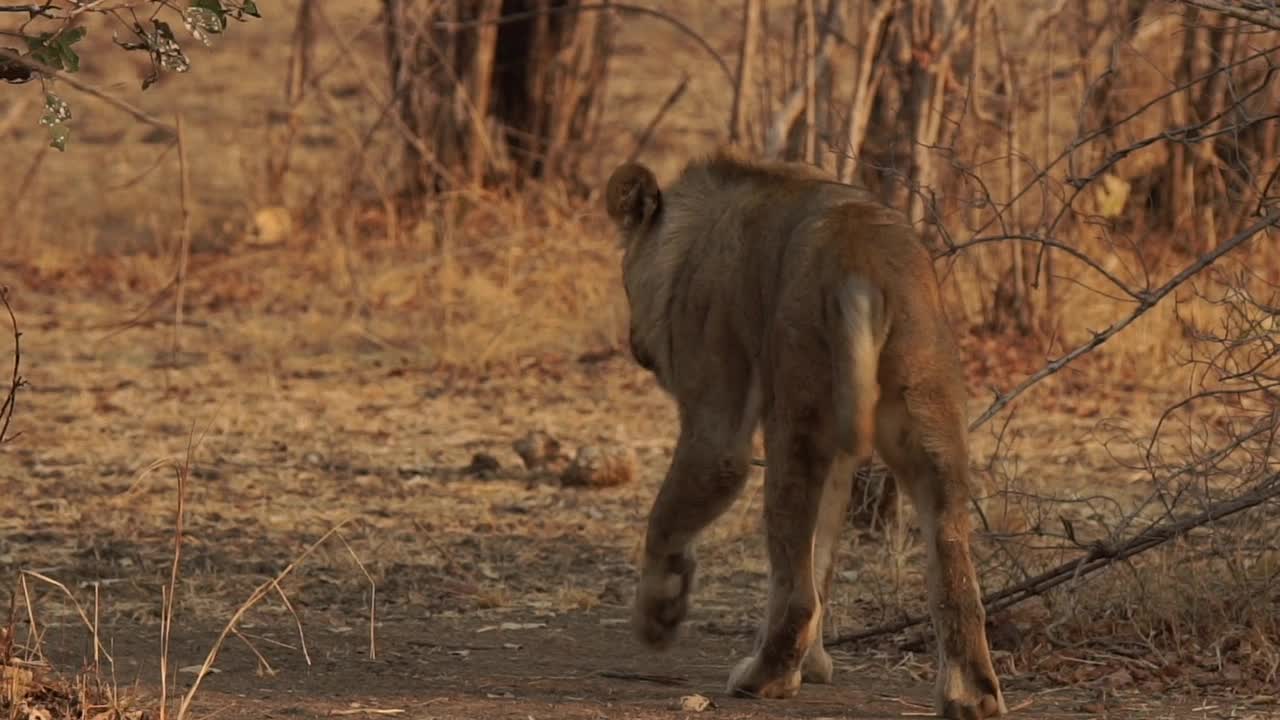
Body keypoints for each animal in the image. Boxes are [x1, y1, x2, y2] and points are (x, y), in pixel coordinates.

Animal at [604, 147, 1003, 717]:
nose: (636, 345)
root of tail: (864, 260)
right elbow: (824, 552)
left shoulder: (716, 418)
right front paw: (813, 668)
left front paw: (658, 618)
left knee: (795, 584)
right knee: (951, 568)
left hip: (795, 415)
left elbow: (668, 518)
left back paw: (764, 677)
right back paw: (971, 695)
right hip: (928, 420)